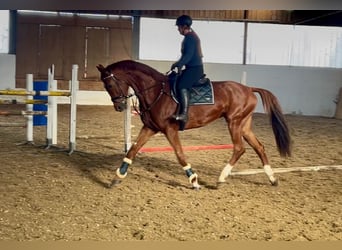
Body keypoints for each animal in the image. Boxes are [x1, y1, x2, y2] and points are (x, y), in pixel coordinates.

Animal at [96, 59, 292, 188]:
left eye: (110, 85)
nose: (119, 106)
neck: (155, 91)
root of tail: (249, 88)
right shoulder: (150, 128)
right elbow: (133, 149)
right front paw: (117, 177)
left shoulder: (169, 129)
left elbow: (179, 154)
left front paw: (194, 180)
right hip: (244, 125)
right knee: (259, 147)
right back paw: (272, 178)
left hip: (234, 123)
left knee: (239, 148)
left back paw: (221, 178)